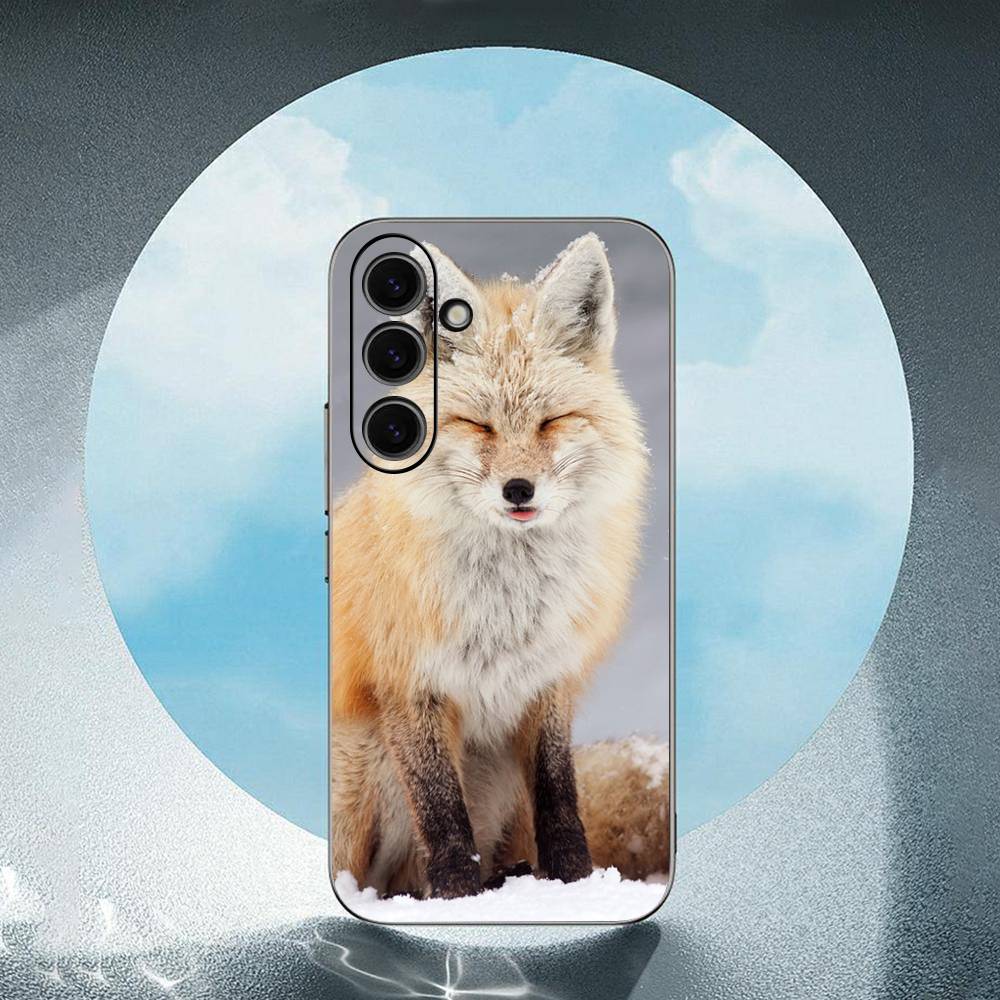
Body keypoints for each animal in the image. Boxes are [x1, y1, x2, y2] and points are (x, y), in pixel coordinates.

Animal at [330, 232, 667, 900]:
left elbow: (560, 799)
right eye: (478, 425)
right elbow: (441, 812)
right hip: (359, 765)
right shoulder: (410, 685)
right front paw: (457, 899)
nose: (518, 490)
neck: (507, 610)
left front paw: (574, 887)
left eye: (551, 421)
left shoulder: (548, 682)